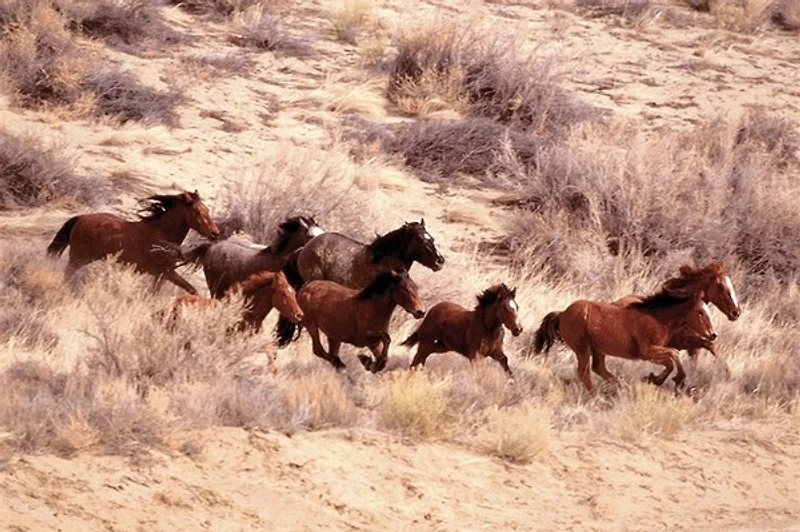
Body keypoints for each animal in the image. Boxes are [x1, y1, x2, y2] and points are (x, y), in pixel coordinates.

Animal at [47, 190, 219, 294]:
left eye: (207, 210)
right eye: (197, 212)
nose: (215, 233)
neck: (162, 235)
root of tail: (81, 218)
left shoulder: (163, 275)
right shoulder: (167, 272)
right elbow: (191, 289)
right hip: (78, 258)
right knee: (67, 274)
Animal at [276, 271, 426, 373]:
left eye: (416, 287)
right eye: (405, 289)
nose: (421, 311)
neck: (372, 307)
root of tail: (304, 289)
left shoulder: (374, 343)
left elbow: (383, 356)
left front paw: (369, 362)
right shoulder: (363, 338)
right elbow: (387, 339)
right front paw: (365, 359)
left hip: (334, 336)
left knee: (330, 352)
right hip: (311, 325)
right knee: (319, 350)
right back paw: (340, 366)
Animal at [532, 290, 716, 393]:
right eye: (700, 312)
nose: (713, 335)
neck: (656, 319)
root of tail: (562, 313)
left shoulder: (654, 351)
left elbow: (671, 359)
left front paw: (654, 378)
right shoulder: (646, 351)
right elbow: (674, 355)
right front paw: (661, 379)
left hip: (597, 349)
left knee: (598, 368)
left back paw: (621, 386)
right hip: (582, 348)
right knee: (584, 372)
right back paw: (596, 396)